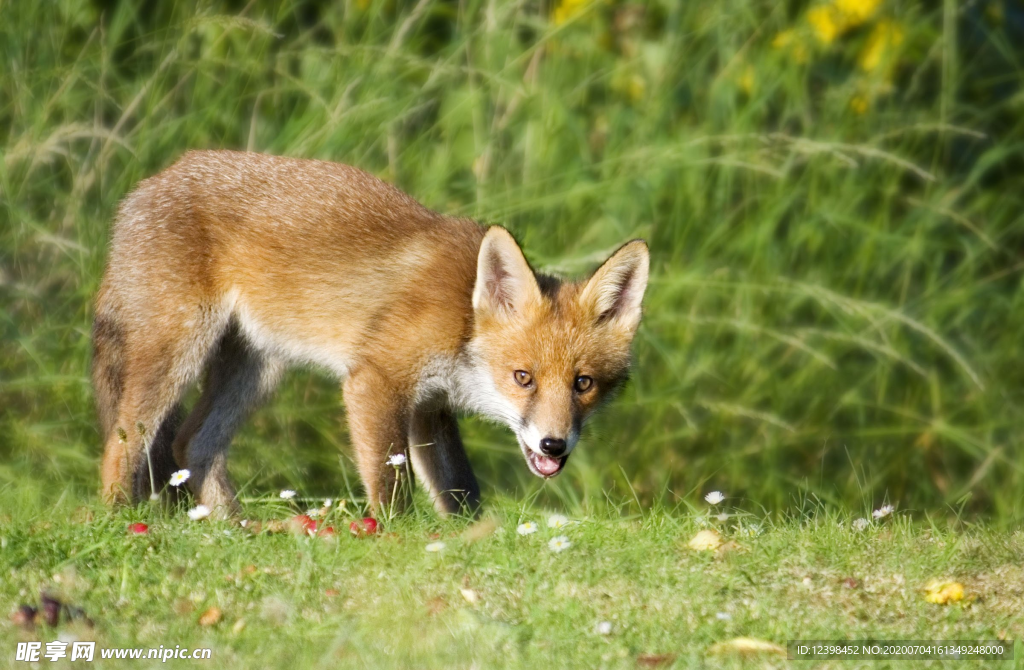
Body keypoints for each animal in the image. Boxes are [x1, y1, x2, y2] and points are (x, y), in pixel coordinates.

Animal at [90, 153, 647, 520]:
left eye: (583, 384)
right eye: (523, 377)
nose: (554, 444)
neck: (462, 319)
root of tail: (143, 188)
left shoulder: (429, 405)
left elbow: (460, 490)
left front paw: (468, 536)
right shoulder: (377, 380)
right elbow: (390, 484)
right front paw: (393, 537)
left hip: (257, 370)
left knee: (192, 443)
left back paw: (238, 528)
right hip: (178, 351)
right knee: (123, 440)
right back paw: (119, 520)